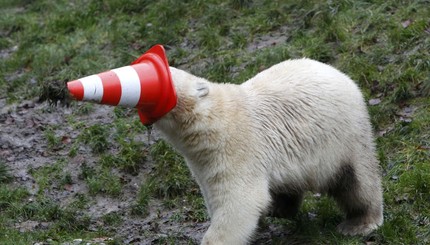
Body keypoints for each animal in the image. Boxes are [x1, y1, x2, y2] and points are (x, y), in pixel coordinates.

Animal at [154, 59, 382, 245]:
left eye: (168, 72)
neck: (213, 122)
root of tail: (343, 76)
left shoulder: (237, 148)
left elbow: (241, 201)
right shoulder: (202, 163)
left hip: (345, 136)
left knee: (357, 181)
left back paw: (358, 223)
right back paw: (279, 208)